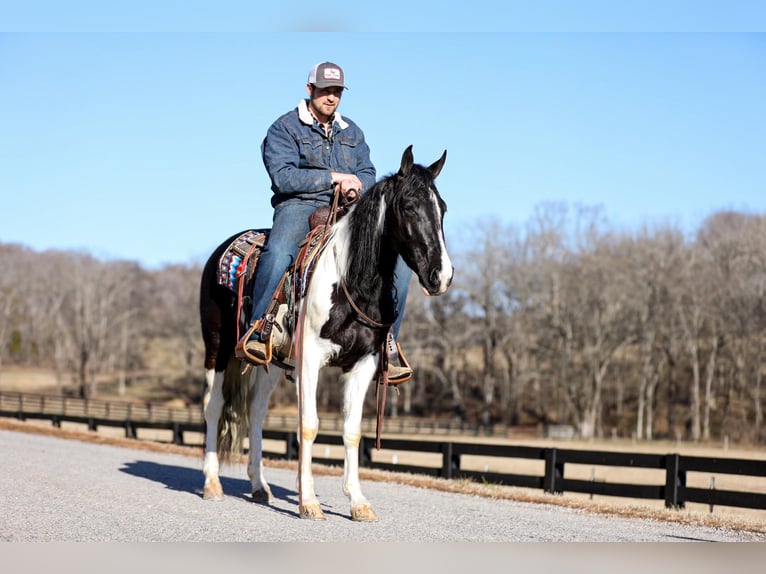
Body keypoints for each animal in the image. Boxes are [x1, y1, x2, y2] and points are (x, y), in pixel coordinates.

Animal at [200, 146, 456, 524]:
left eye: (443, 208)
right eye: (409, 206)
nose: (442, 276)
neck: (352, 281)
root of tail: (222, 251)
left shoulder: (363, 365)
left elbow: (351, 431)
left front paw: (358, 502)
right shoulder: (310, 360)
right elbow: (308, 425)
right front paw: (308, 503)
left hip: (271, 365)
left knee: (256, 413)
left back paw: (260, 486)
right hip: (216, 348)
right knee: (213, 407)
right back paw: (212, 484)